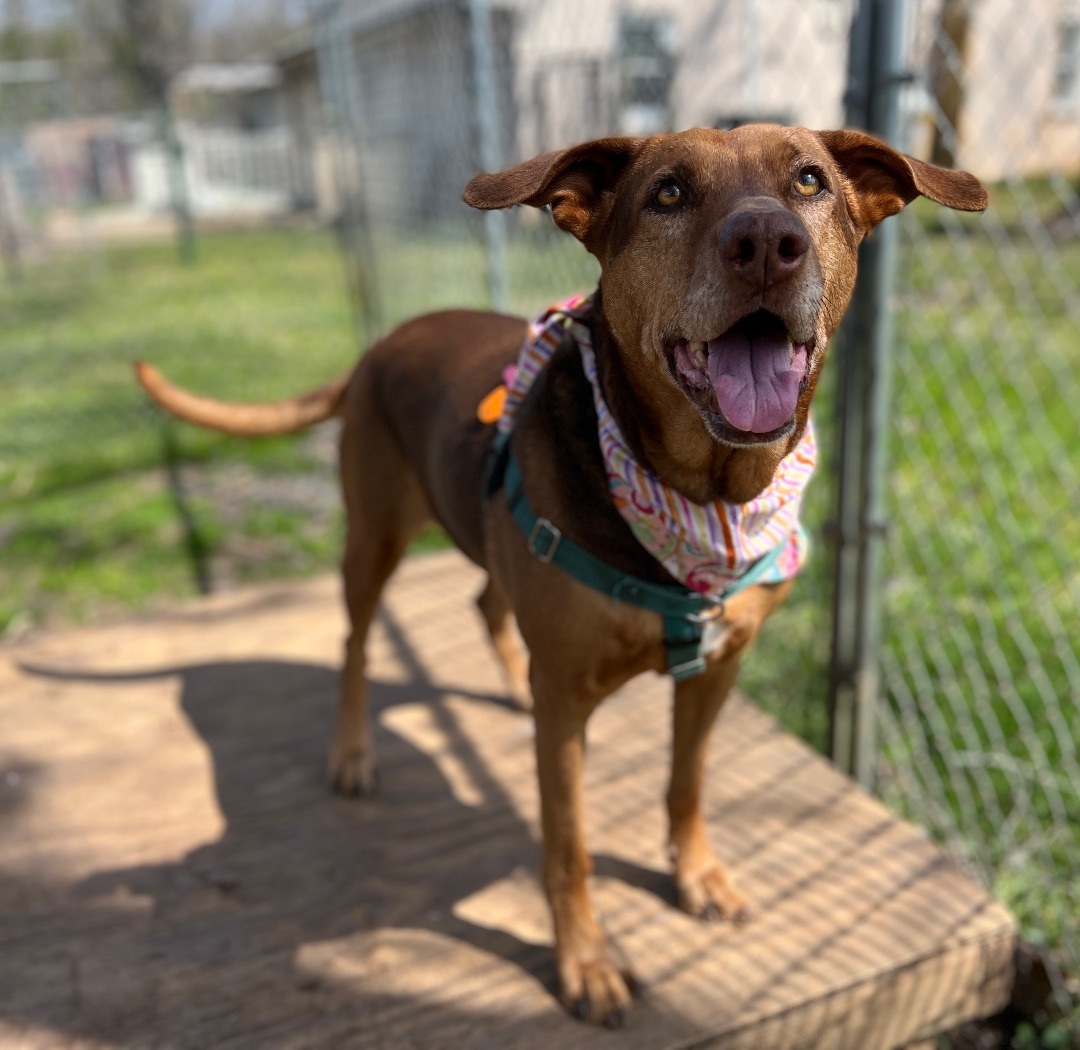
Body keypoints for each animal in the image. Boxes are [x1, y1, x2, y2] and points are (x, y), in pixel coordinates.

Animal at [135, 123, 989, 1024]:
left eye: (811, 181)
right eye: (667, 193)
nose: (767, 244)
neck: (705, 496)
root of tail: (381, 345)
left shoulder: (716, 667)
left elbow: (687, 784)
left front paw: (697, 876)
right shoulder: (570, 708)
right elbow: (569, 846)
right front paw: (585, 961)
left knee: (485, 601)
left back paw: (511, 686)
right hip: (372, 537)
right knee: (356, 644)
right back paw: (354, 753)